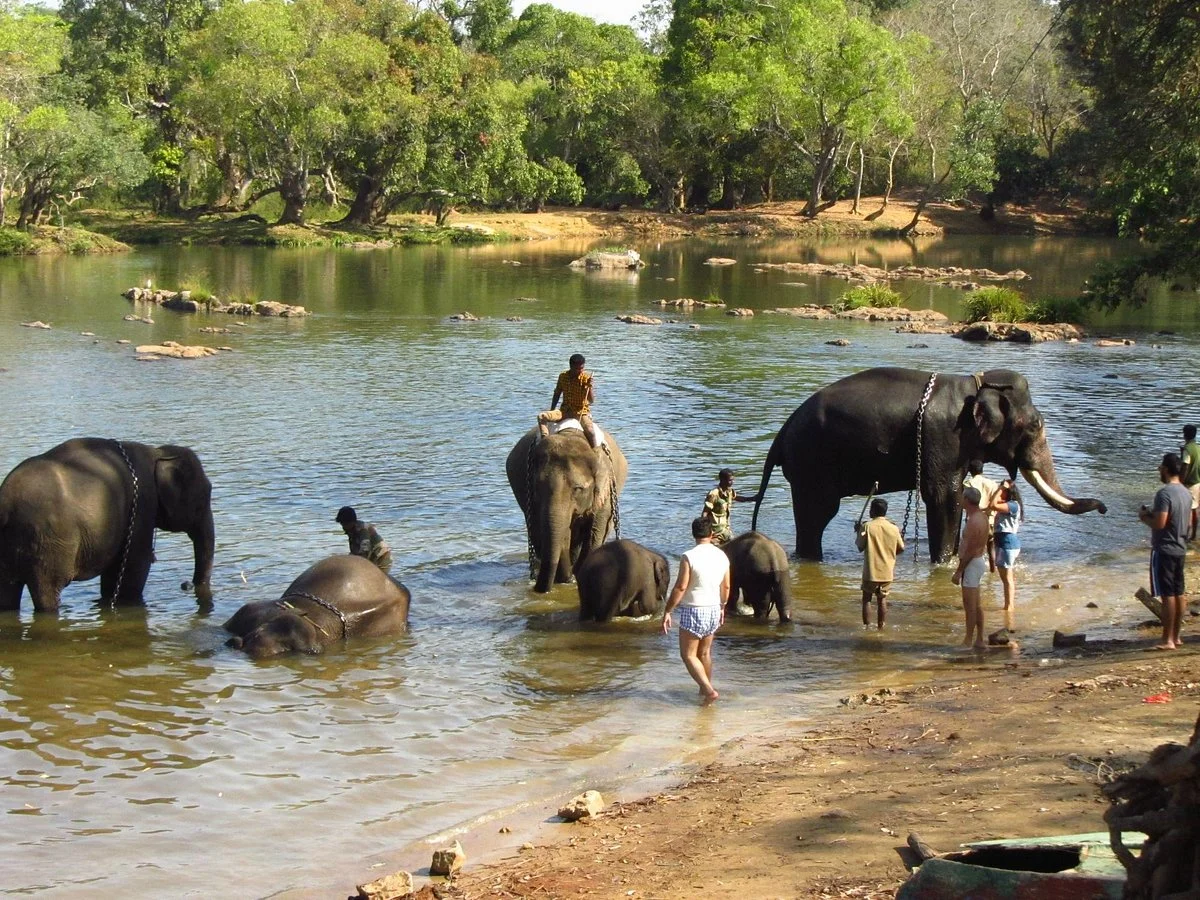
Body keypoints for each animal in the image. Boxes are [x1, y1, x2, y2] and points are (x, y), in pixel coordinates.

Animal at [0, 438, 215, 612]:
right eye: (206, 495)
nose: (187, 585)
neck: (157, 452)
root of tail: (6, 502)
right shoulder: (141, 507)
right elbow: (134, 567)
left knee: (8, 593)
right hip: (48, 542)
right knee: (47, 591)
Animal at [506, 426, 628, 593]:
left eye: (578, 488)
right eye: (537, 486)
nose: (536, 589)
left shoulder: (606, 493)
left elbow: (594, 533)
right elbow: (559, 533)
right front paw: (567, 578)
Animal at [750, 368, 1107, 563]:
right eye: (1035, 427)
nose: (1104, 508)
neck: (976, 384)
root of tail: (782, 434)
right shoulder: (944, 436)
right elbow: (943, 498)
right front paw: (945, 563)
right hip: (812, 463)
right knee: (817, 516)